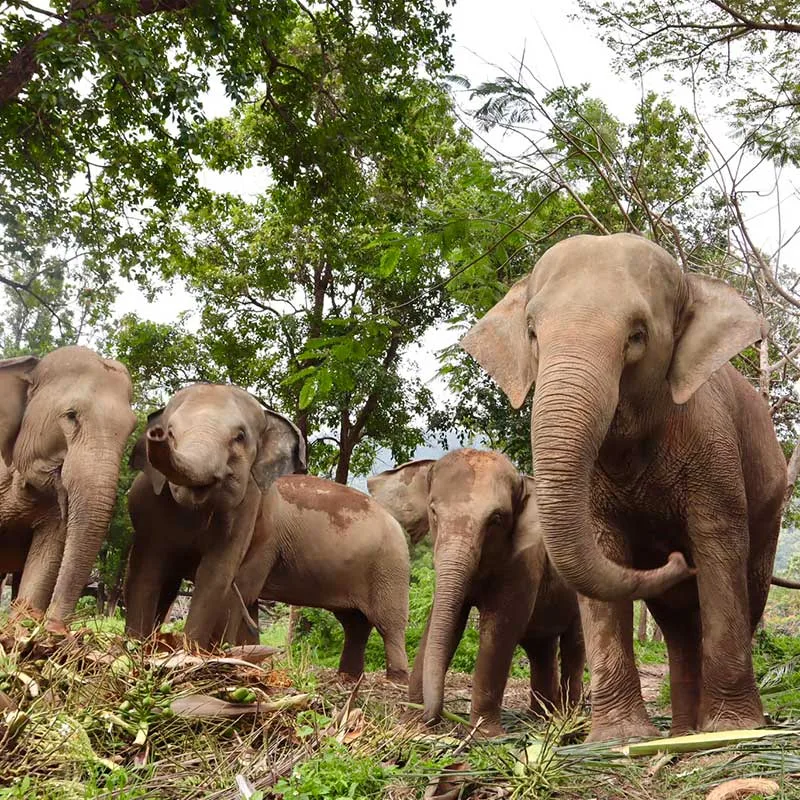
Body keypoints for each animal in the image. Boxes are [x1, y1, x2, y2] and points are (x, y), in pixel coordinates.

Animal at [124, 383, 306, 649]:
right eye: (170, 432)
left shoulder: (245, 510)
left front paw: (190, 652)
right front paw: (136, 646)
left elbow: (216, 574)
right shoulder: (149, 508)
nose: (156, 434)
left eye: (239, 437)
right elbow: (146, 570)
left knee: (240, 593)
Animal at [218, 474, 410, 683]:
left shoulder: (266, 541)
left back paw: (396, 680)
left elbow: (242, 590)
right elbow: (247, 598)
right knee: (354, 623)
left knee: (388, 623)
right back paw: (349, 678)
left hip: (388, 569)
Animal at [368, 448, 584, 736]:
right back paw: (539, 718)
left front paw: (486, 734)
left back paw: (566, 720)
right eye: (433, 511)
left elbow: (500, 628)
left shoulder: (523, 563)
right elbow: (445, 623)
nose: (432, 717)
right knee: (541, 648)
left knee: (574, 646)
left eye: (496, 519)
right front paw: (410, 723)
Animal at [460, 232, 787, 741]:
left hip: (771, 505)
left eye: (637, 335)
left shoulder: (715, 445)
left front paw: (734, 730)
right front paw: (621, 738)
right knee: (677, 623)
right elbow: (603, 549)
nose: (675, 559)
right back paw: (681, 733)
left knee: (745, 592)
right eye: (532, 332)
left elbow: (718, 544)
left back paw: (700, 730)